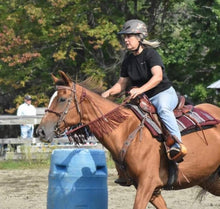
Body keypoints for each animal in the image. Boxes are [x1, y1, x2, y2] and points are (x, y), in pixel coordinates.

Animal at [37, 70, 220, 209]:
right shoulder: (150, 189)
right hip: (210, 179)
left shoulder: (147, 184)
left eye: (62, 99)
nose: (40, 131)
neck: (126, 130)